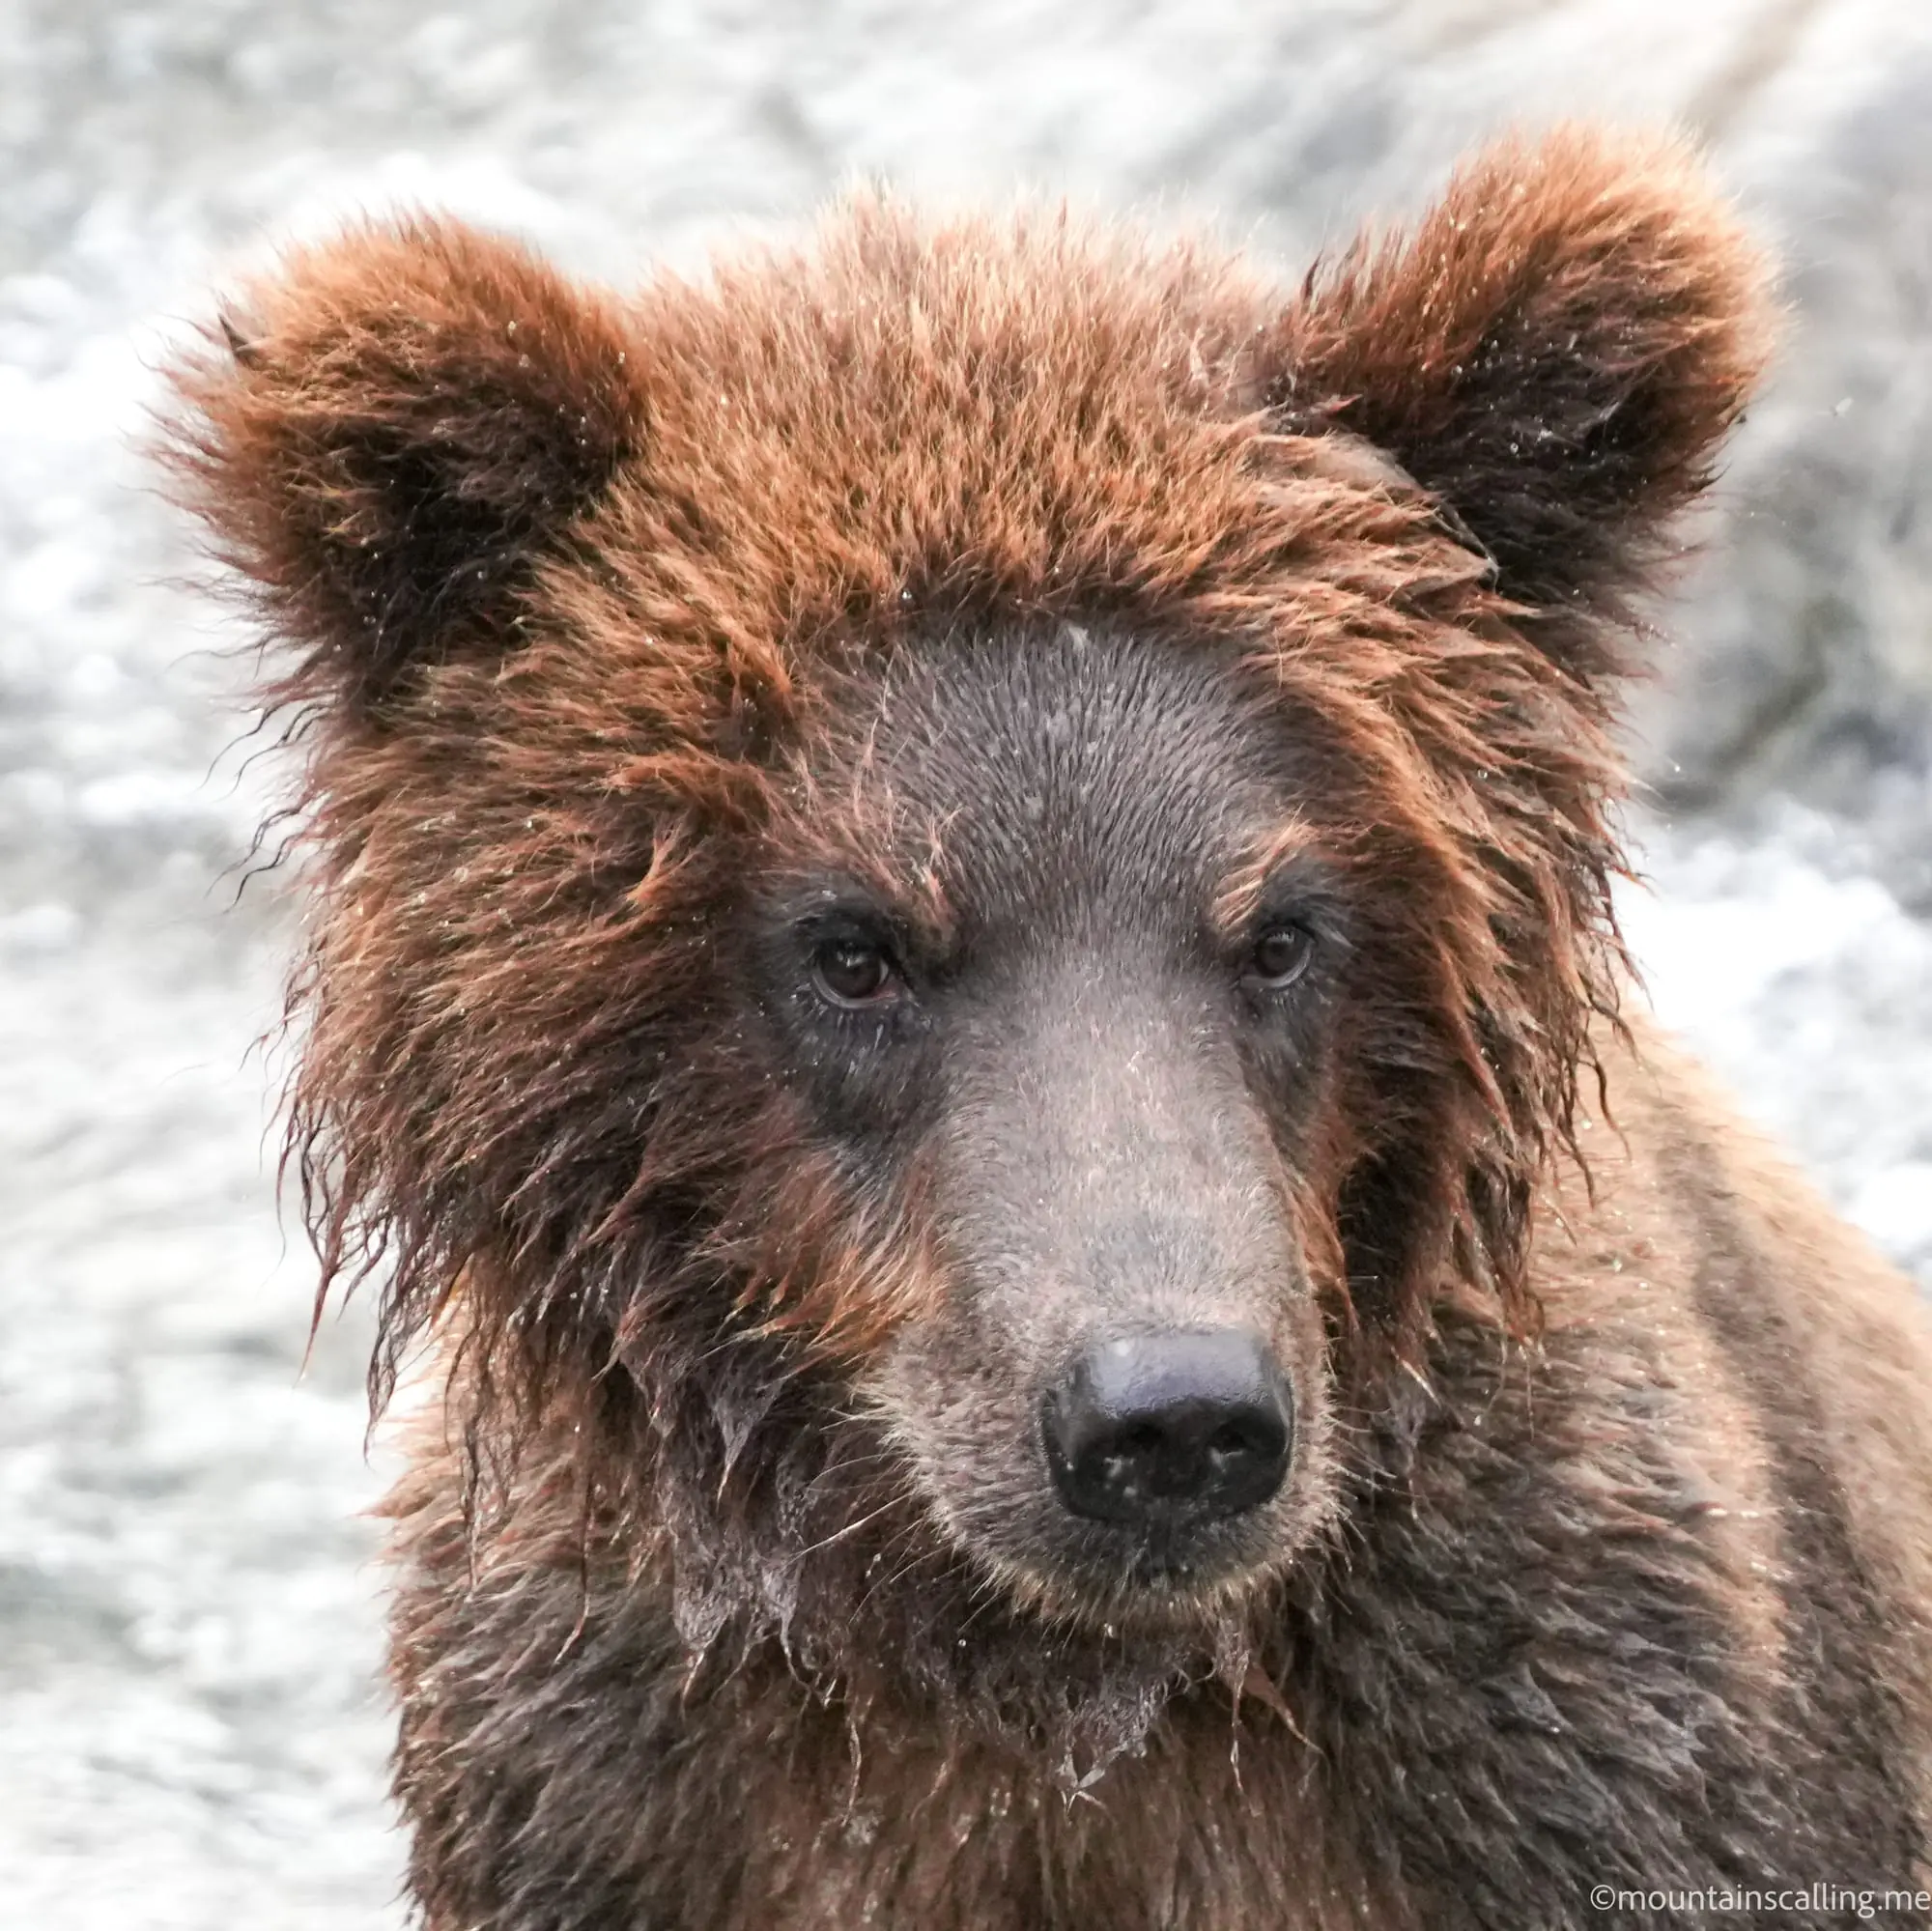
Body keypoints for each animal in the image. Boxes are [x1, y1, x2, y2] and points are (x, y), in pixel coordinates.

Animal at [164, 126, 1932, 1929]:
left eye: (1281, 928)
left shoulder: (1592, 1722)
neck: (1047, 1694)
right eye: (856, 946)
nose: (1172, 1418)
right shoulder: (614, 1782)